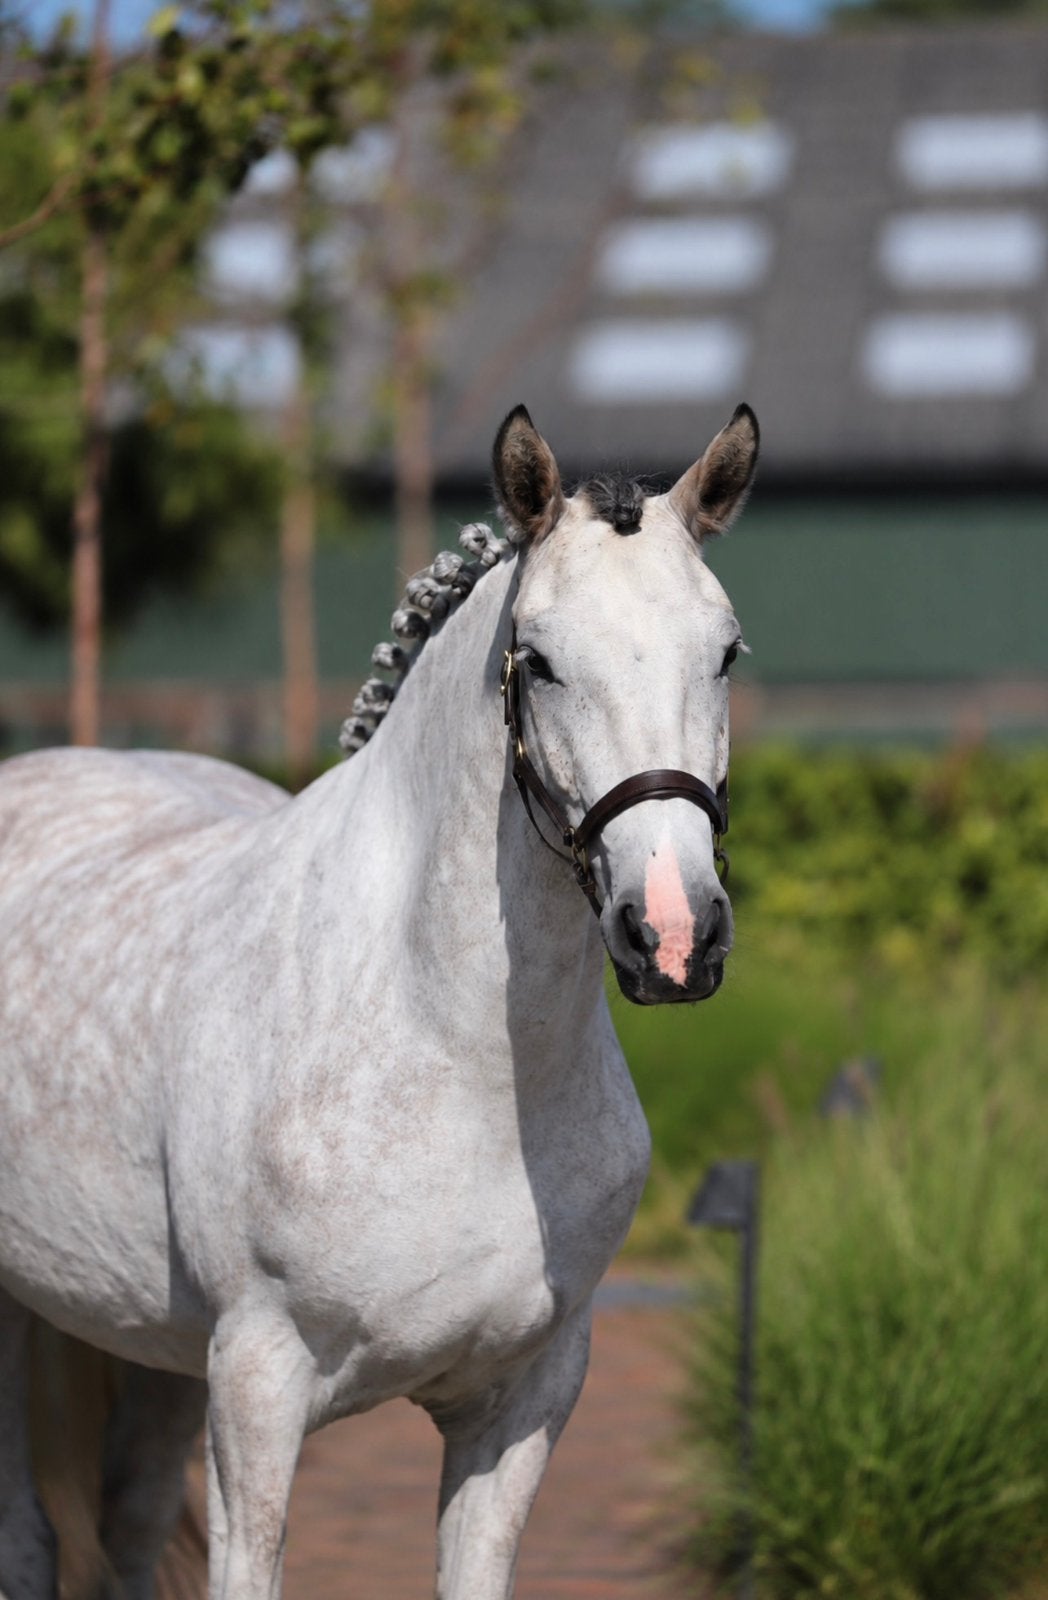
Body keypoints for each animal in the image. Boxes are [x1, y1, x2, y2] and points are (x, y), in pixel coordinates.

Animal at [0, 400, 758, 1600]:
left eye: (723, 651)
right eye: (539, 661)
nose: (675, 935)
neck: (452, 1058)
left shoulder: (521, 1403)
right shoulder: (258, 1389)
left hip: (150, 1349)